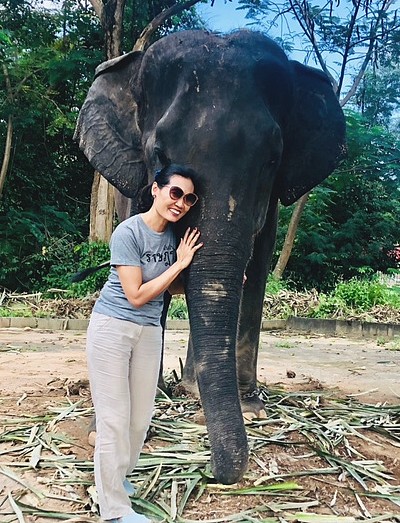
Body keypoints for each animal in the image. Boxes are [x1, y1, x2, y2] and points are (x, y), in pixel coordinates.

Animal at [75, 28, 346, 488]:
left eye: (272, 159)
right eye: (159, 154)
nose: (215, 471)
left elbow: (257, 267)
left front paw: (251, 410)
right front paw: (107, 425)